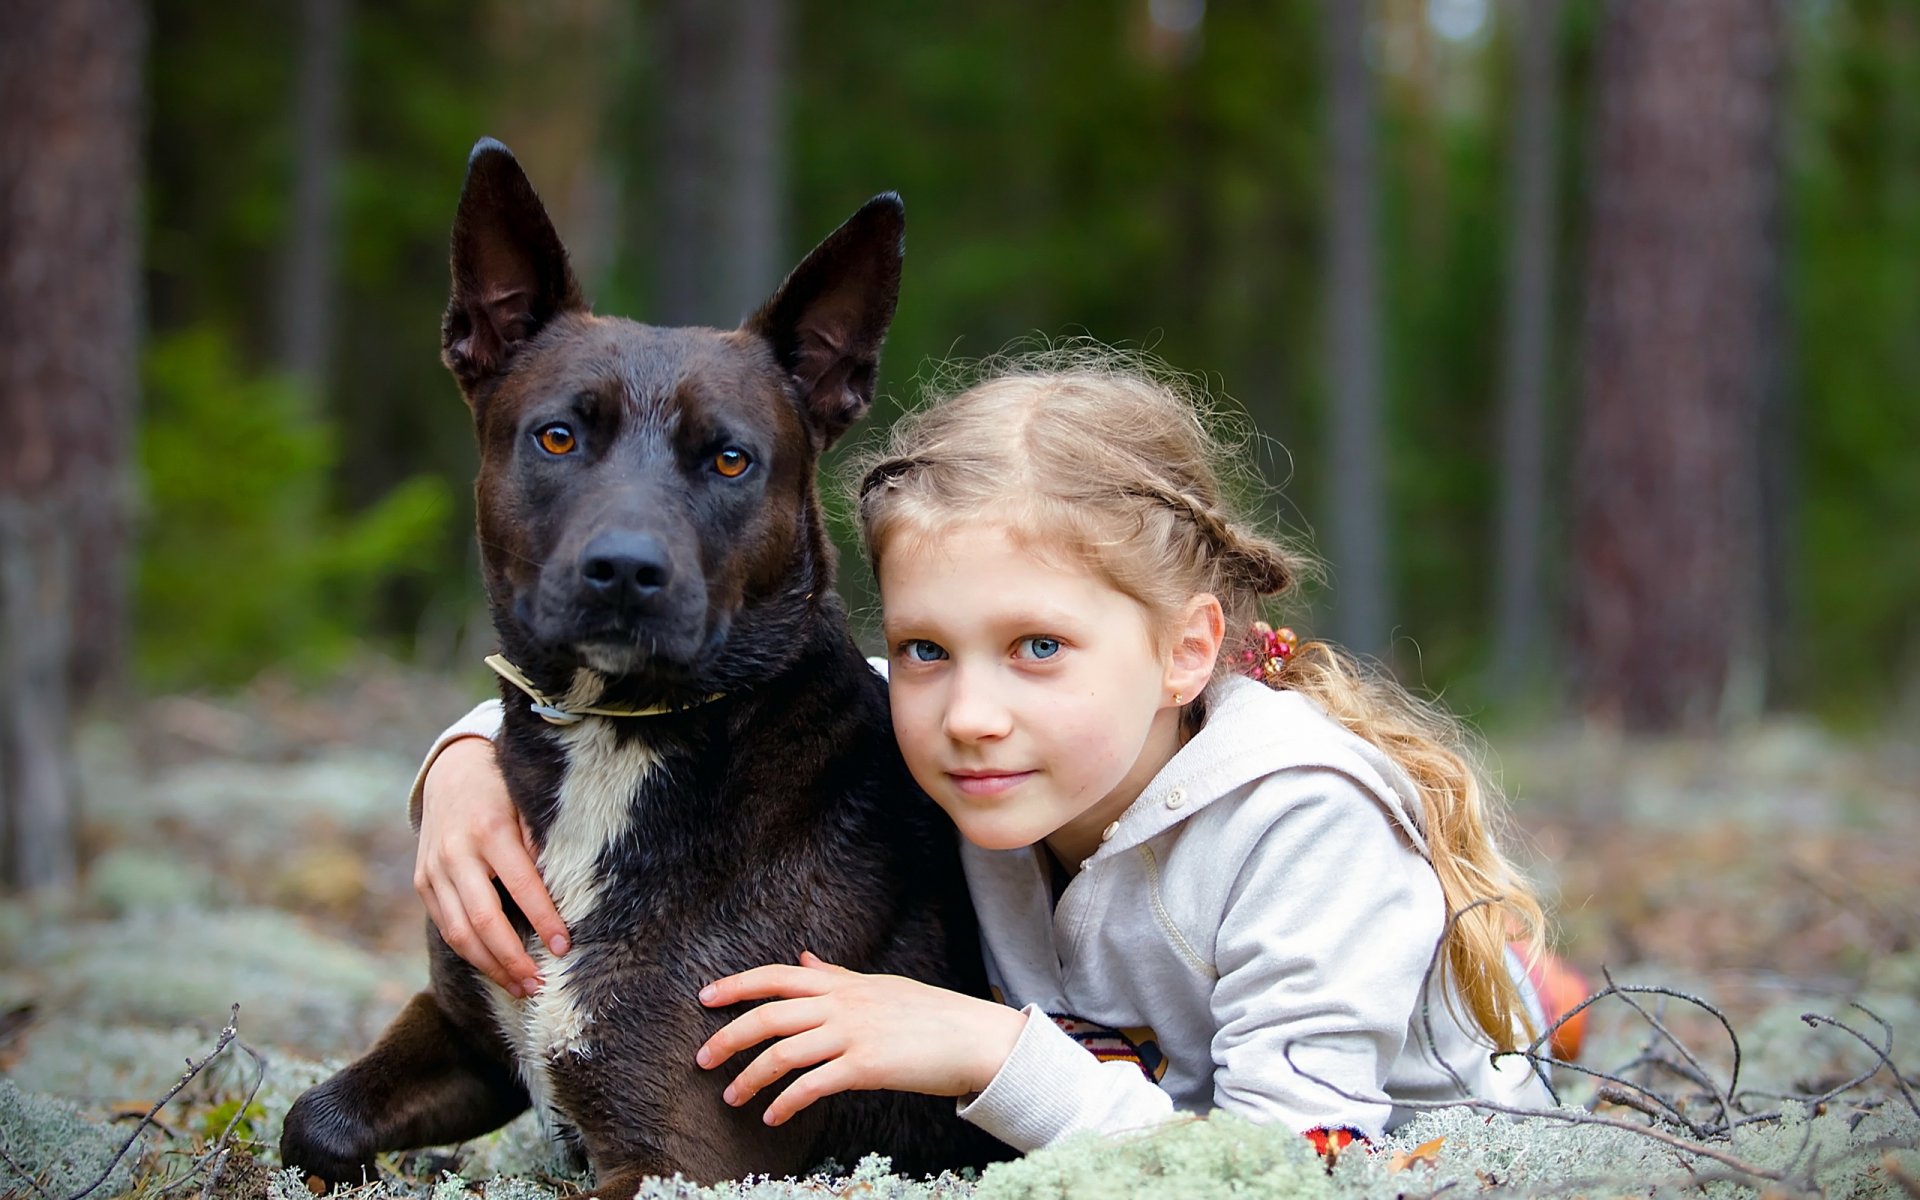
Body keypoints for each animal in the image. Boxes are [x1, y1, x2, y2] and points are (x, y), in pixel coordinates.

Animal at [288, 138, 1006, 1190]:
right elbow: (311, 1119)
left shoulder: (678, 1154)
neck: (618, 738)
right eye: (557, 436)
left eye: (730, 460)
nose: (625, 571)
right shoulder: (471, 1034)